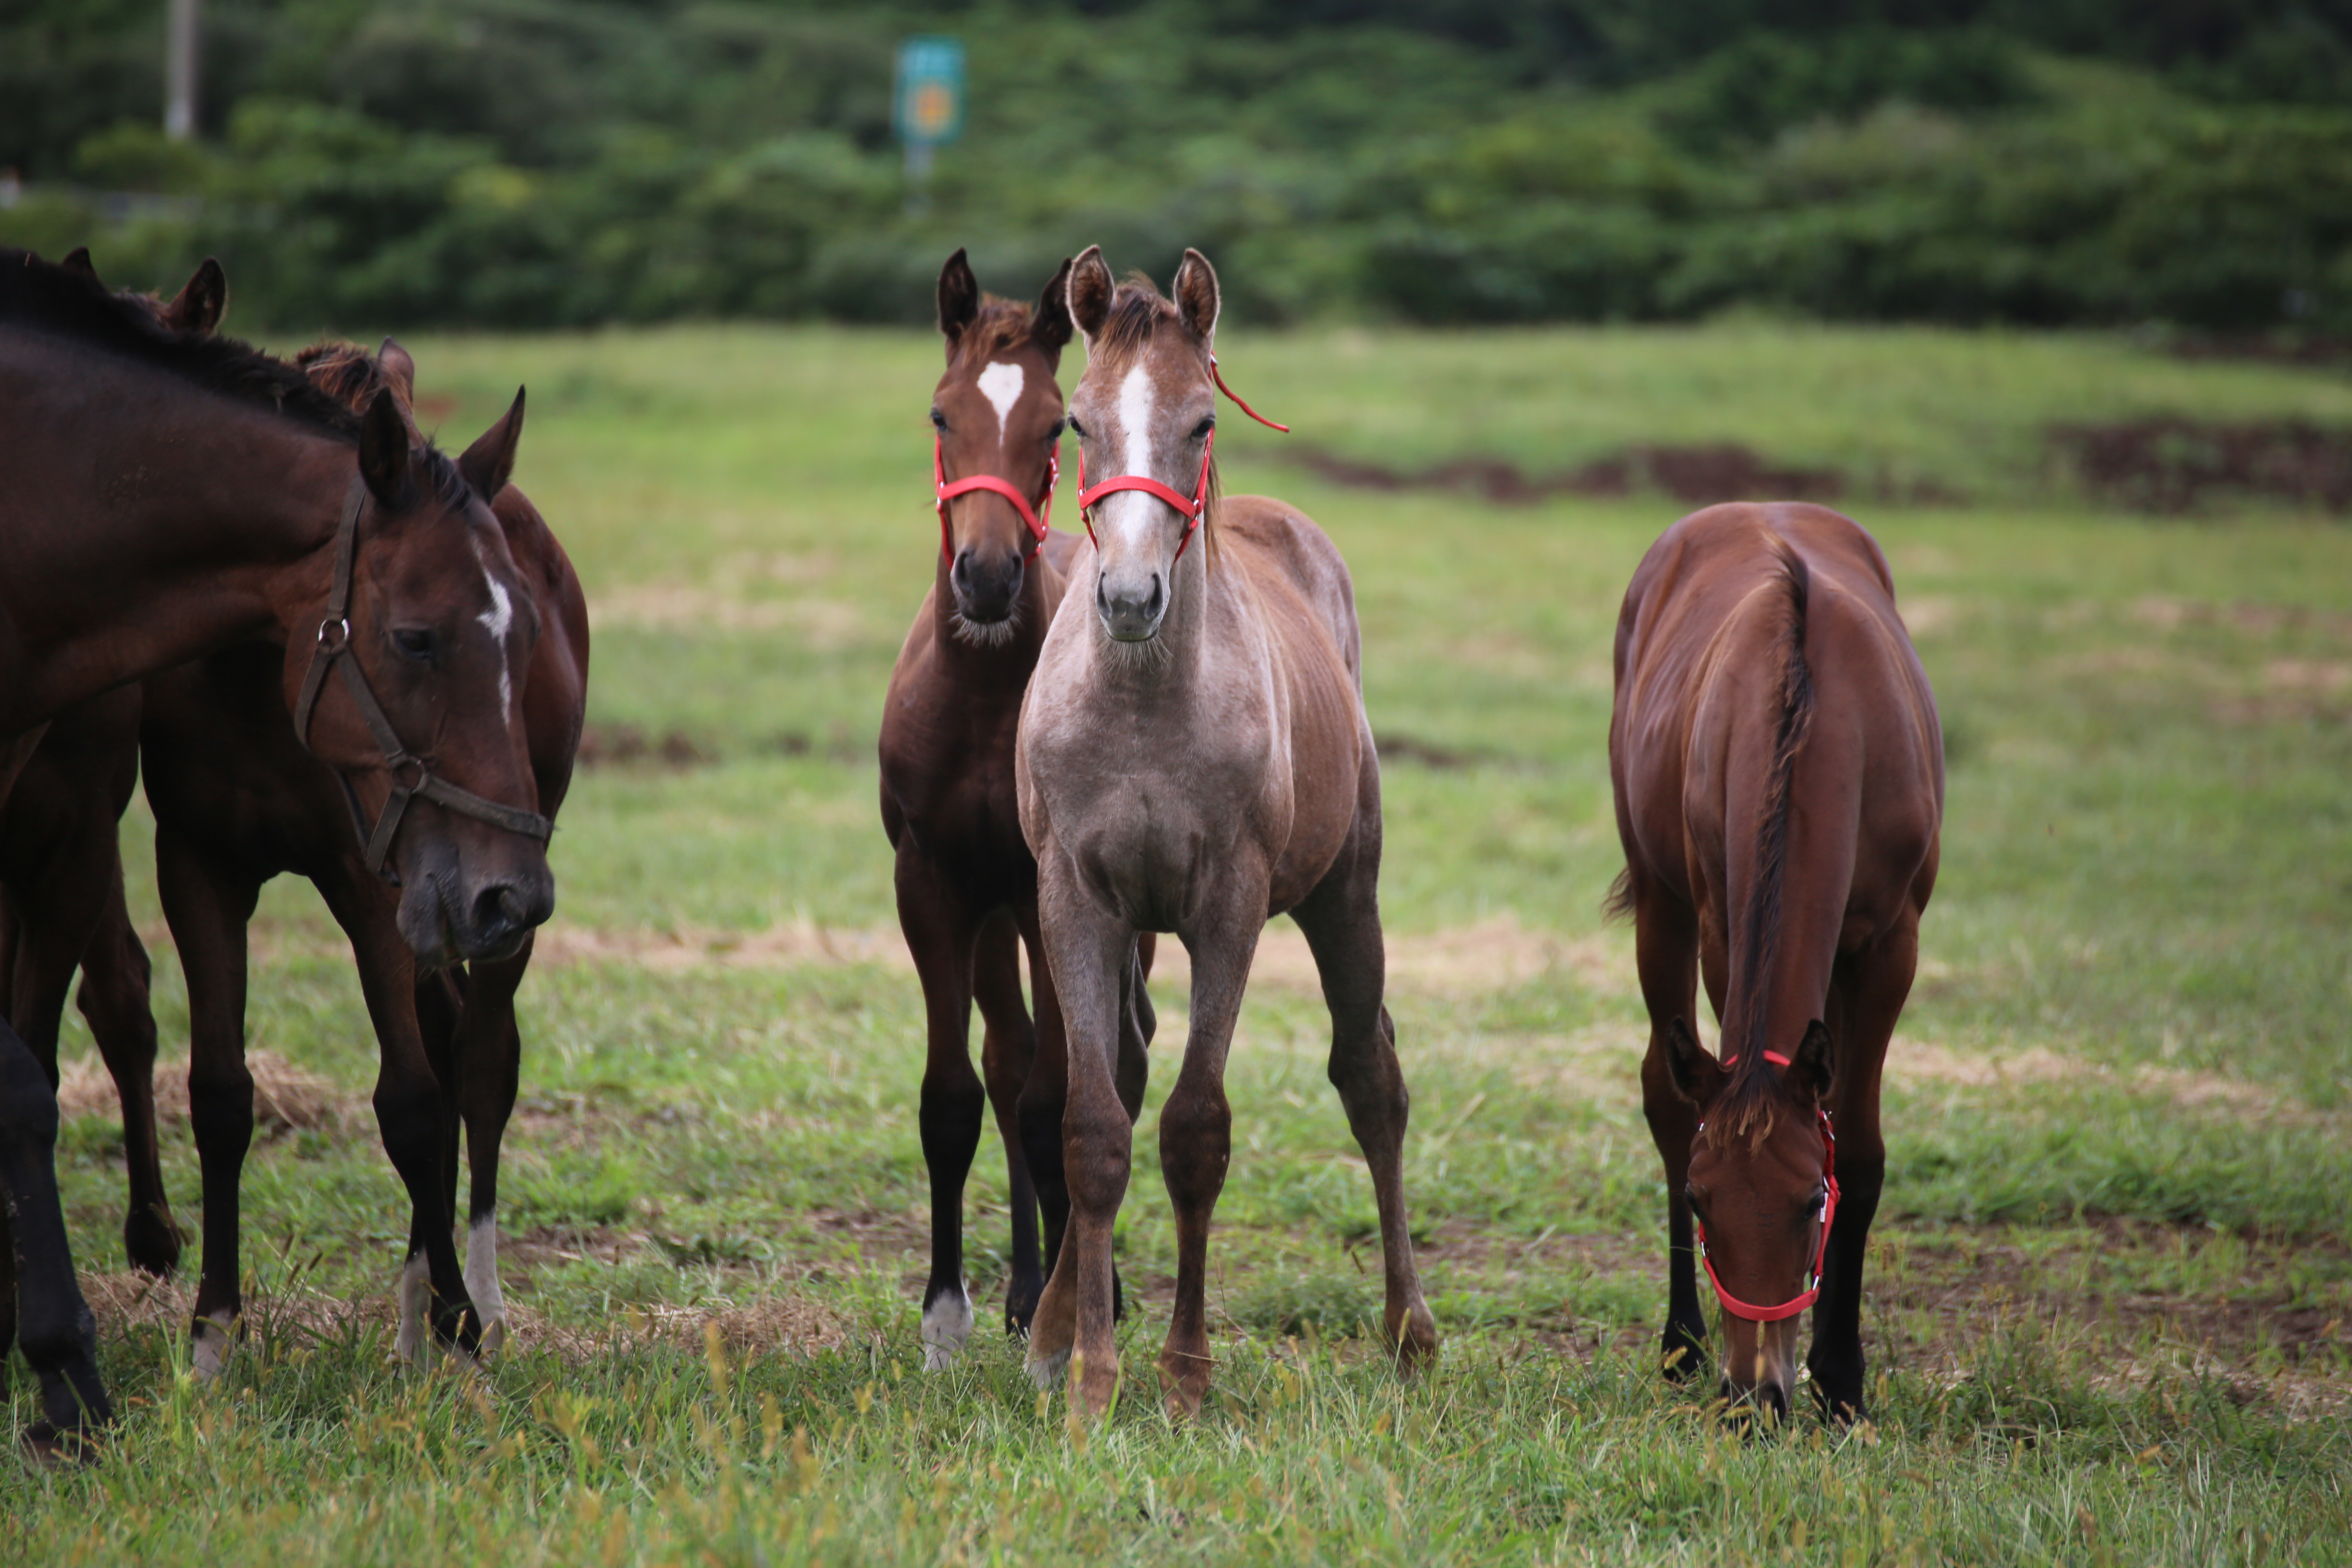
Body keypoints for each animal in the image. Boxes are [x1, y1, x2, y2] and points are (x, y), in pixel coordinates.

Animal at [1608, 503, 1938, 1420]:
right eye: (1701, 1199)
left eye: (1809, 1202)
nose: (1754, 1398)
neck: (1819, 723)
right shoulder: (1724, 929)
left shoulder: (1893, 946)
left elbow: (1857, 1146)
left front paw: (1842, 1374)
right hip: (1662, 902)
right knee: (1665, 1095)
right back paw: (1680, 1343)